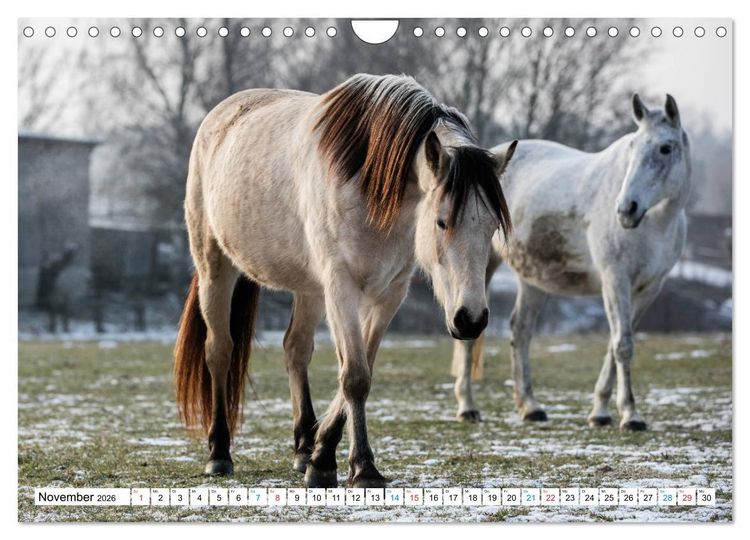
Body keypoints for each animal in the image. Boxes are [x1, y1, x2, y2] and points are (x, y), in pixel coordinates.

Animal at [173, 74, 514, 488]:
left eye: (493, 226)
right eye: (441, 221)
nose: (471, 319)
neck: (369, 180)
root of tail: (220, 116)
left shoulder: (388, 294)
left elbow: (360, 367)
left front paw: (322, 455)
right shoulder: (341, 287)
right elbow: (354, 376)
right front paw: (361, 468)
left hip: (309, 289)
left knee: (295, 349)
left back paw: (303, 447)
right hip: (216, 267)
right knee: (220, 350)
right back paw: (219, 453)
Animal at [451, 94, 690, 430]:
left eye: (665, 148)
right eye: (632, 147)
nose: (626, 209)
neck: (656, 222)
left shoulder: (648, 289)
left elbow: (616, 343)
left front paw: (601, 411)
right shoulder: (615, 280)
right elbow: (623, 345)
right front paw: (629, 415)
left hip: (533, 281)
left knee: (521, 330)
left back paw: (530, 407)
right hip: (482, 268)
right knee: (472, 334)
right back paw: (467, 407)